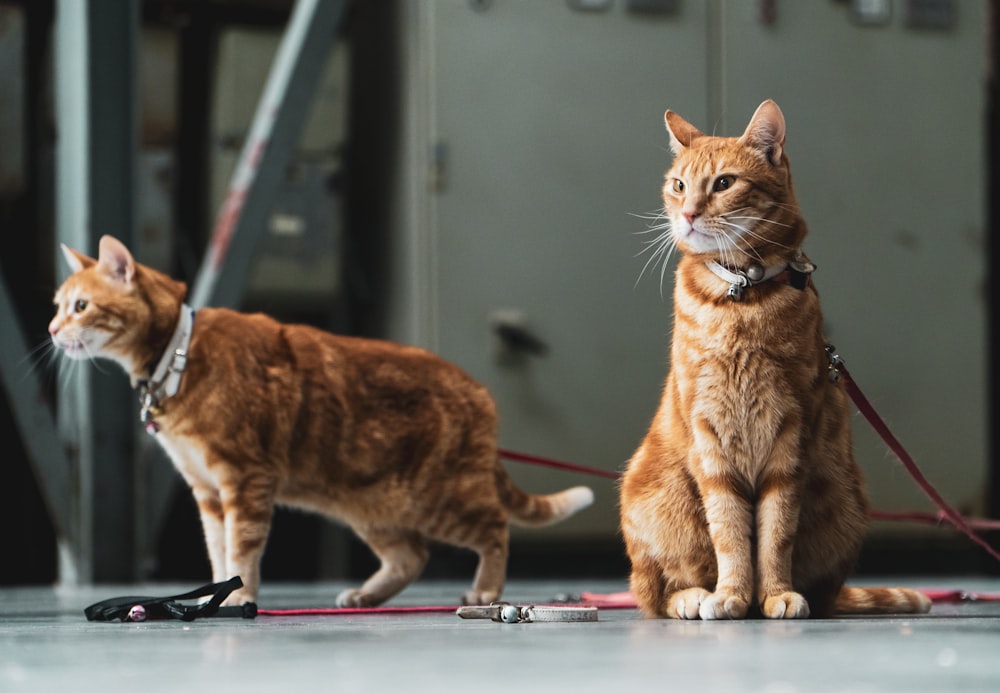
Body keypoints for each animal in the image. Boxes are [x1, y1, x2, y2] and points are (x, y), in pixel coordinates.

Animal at [48, 235, 592, 604]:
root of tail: (480, 392)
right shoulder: (206, 491)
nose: (51, 330)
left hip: (439, 497)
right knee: (410, 555)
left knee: (494, 527)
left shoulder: (245, 479)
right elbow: (219, 551)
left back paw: (486, 591)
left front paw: (240, 597)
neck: (176, 357)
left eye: (80, 306)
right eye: (57, 306)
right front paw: (217, 596)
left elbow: (241, 549)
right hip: (371, 504)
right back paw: (367, 595)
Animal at [620, 100, 932, 620]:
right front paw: (731, 594)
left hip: (846, 500)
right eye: (679, 185)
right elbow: (728, 530)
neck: (742, 295)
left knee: (821, 587)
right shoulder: (709, 437)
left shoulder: (791, 435)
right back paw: (694, 596)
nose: (687, 213)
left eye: (724, 183)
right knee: (655, 591)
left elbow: (774, 533)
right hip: (657, 496)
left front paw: (774, 593)